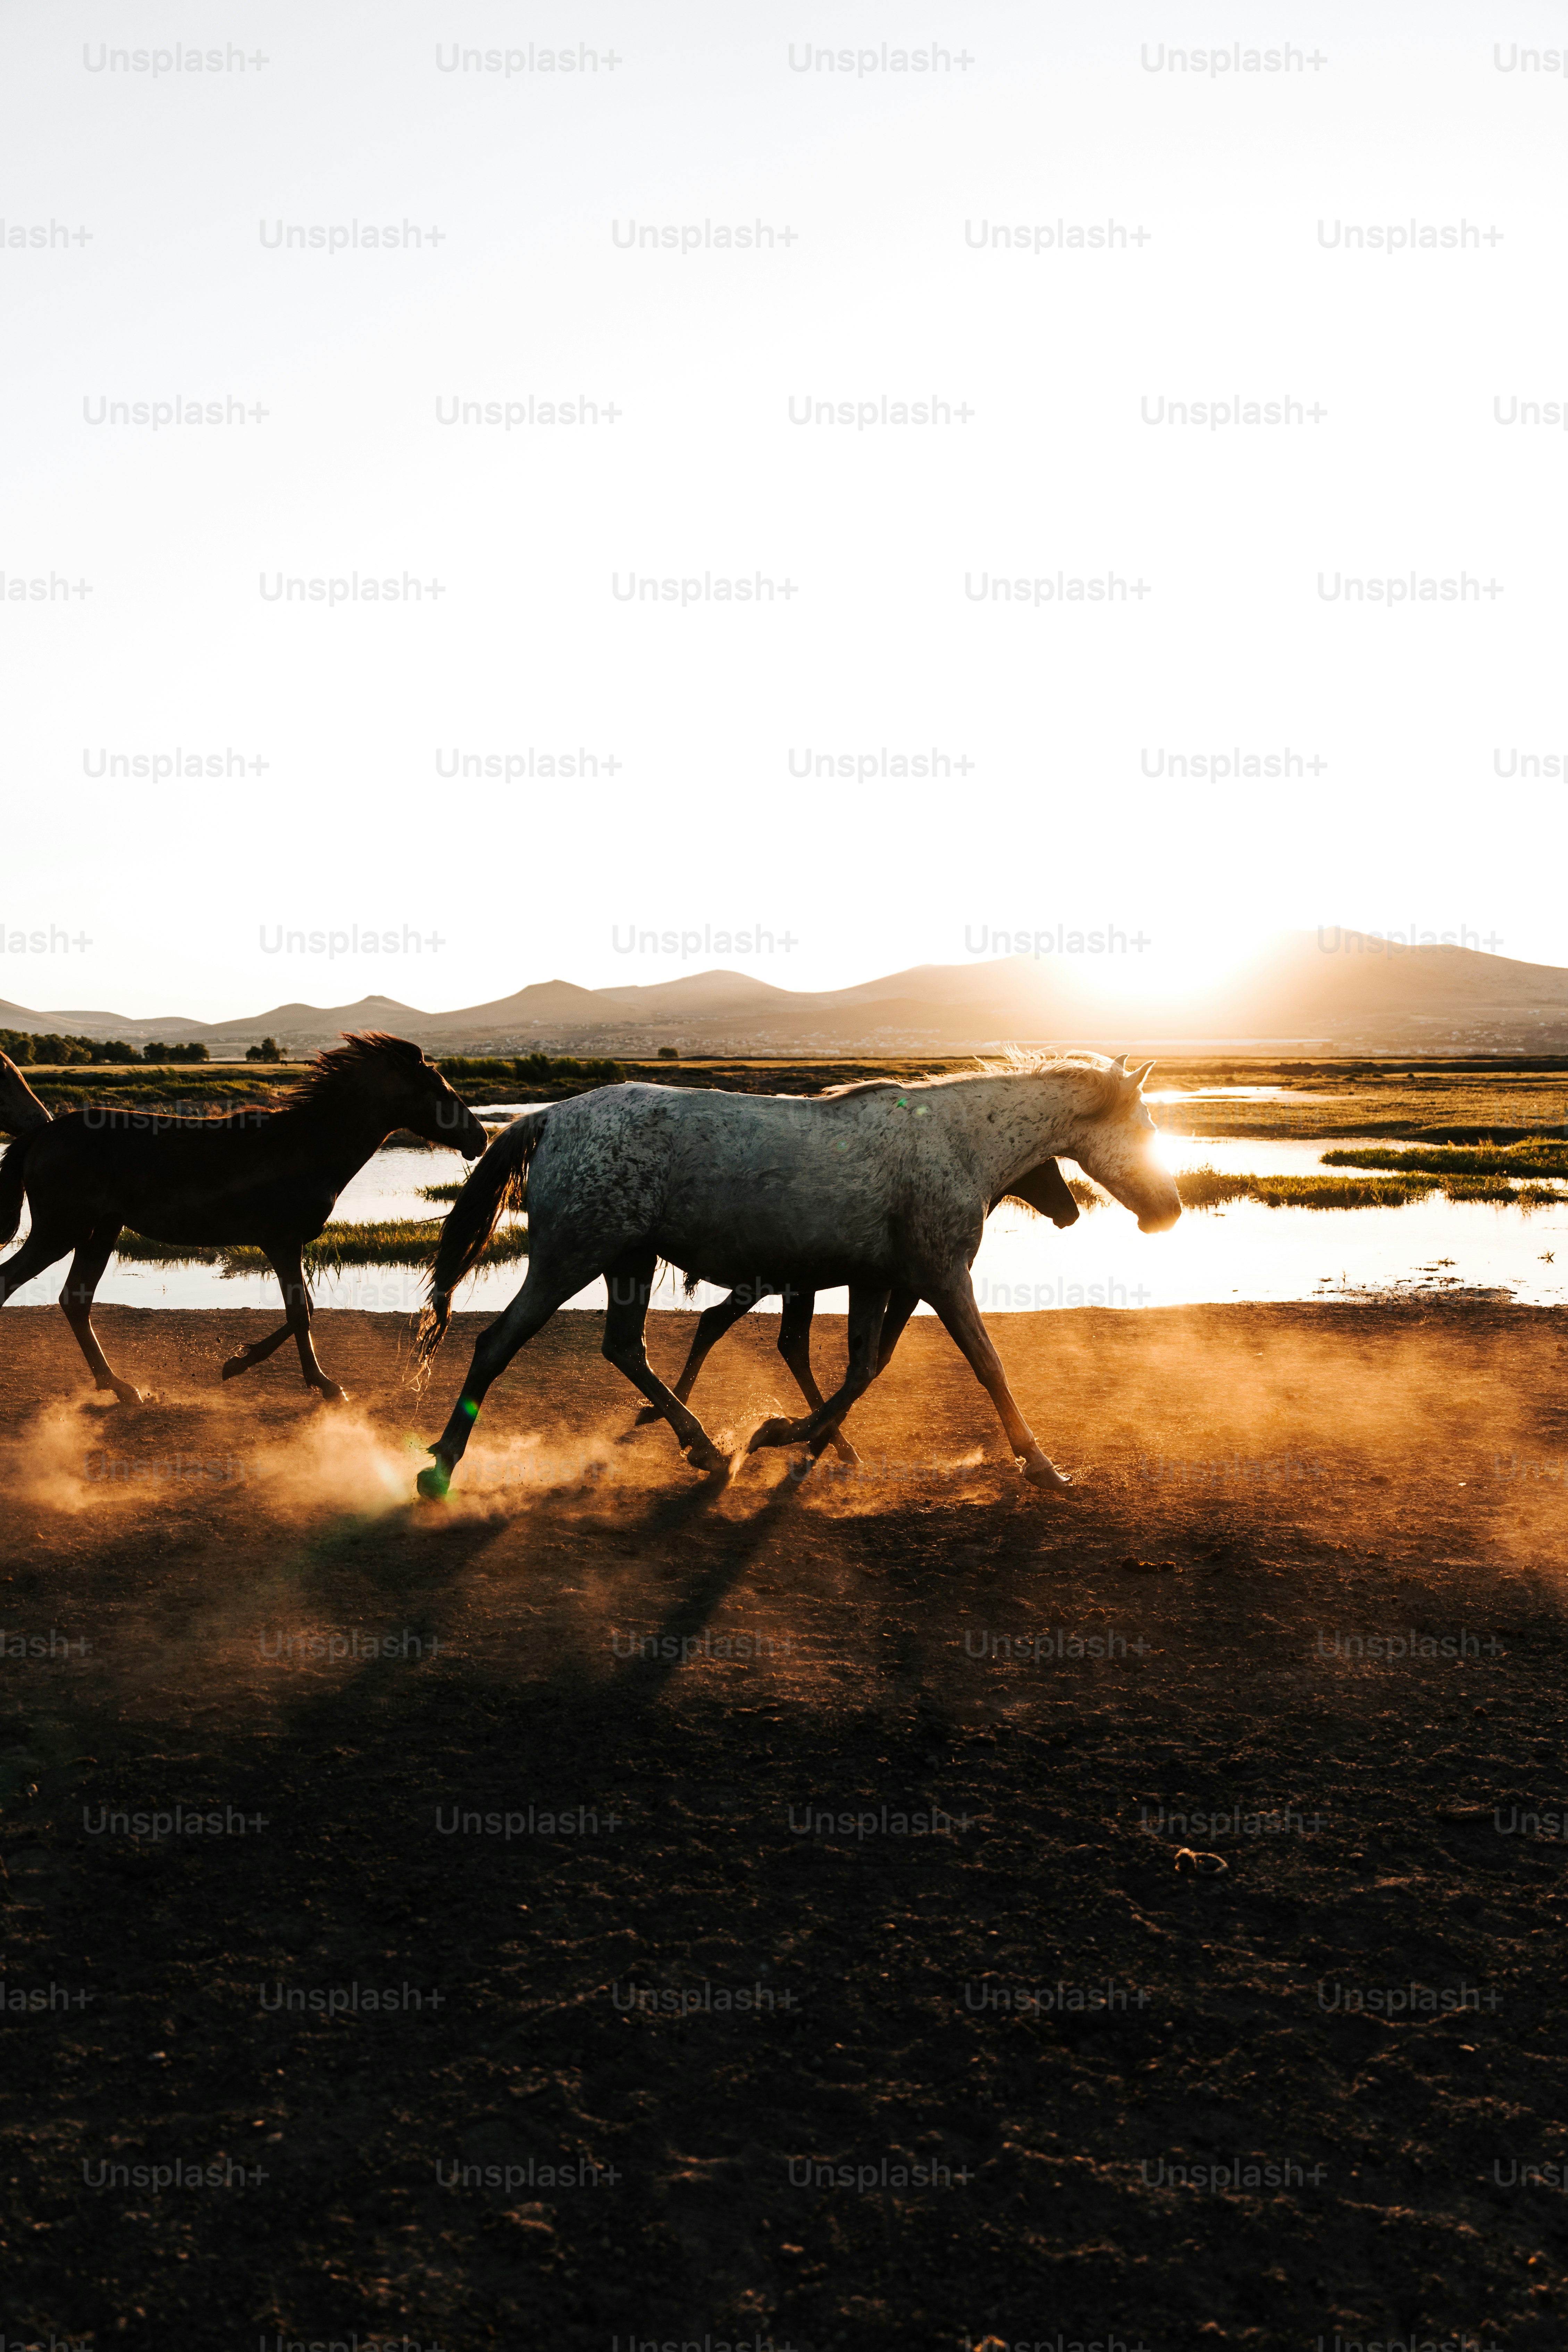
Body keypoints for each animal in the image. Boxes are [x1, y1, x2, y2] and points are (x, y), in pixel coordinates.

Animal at [0, 1033, 487, 1406]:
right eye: (440, 1089)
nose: (480, 1138)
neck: (307, 1145)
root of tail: (42, 1132)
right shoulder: (282, 1241)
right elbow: (302, 1311)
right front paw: (320, 1384)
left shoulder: (284, 1244)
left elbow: (301, 1311)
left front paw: (237, 1363)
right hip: (61, 1232)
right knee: (17, 1283)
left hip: (100, 1231)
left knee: (75, 1301)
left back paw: (122, 1387)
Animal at [629, 1154, 1085, 1464]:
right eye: (1044, 1166)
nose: (1071, 1212)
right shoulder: (910, 1289)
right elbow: (878, 1358)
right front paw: (812, 1435)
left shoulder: (898, 1290)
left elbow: (873, 1360)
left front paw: (812, 1434)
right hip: (780, 1285)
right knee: (770, 1339)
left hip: (781, 1286)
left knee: (732, 1327)